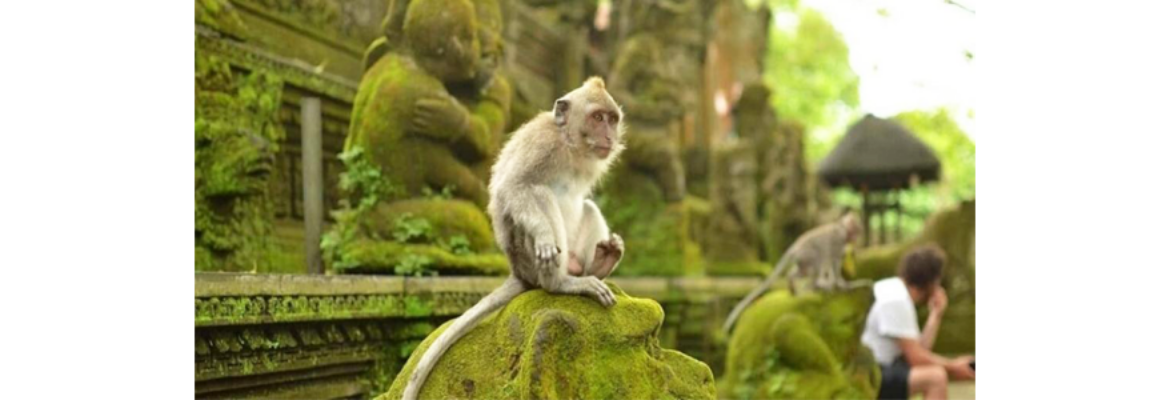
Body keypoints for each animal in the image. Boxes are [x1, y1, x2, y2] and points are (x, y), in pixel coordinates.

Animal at [401, 77, 626, 400]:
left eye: (611, 119)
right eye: (597, 118)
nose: (609, 135)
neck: (570, 146)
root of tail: (517, 271)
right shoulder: (542, 144)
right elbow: (514, 188)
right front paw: (544, 235)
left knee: (588, 206)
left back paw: (600, 263)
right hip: (526, 255)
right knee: (540, 194)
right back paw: (560, 282)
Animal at [722, 212, 865, 334]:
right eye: (856, 230)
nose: (856, 238)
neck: (842, 228)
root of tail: (794, 247)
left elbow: (830, 262)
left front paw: (833, 282)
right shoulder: (837, 241)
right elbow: (833, 261)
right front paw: (839, 283)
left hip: (802, 259)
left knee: (802, 271)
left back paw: (793, 283)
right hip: (807, 254)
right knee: (817, 260)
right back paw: (815, 285)